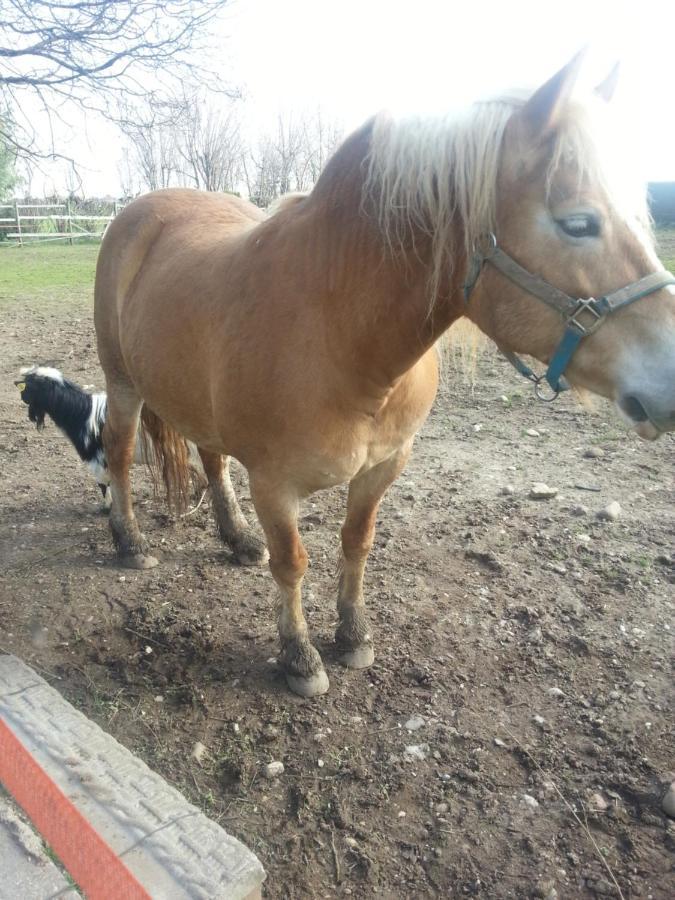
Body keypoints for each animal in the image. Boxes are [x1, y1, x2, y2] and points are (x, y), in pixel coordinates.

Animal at [14, 364, 202, 506]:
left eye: (30, 386)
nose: (17, 385)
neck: (81, 413)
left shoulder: (96, 457)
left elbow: (103, 483)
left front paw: (107, 507)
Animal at [95, 54, 675, 696]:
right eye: (578, 223)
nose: (670, 379)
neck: (338, 335)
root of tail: (143, 210)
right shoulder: (274, 483)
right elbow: (293, 562)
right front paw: (299, 655)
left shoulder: (384, 465)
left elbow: (357, 543)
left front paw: (353, 634)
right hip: (122, 384)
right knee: (120, 453)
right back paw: (129, 541)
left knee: (213, 458)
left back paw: (237, 537)